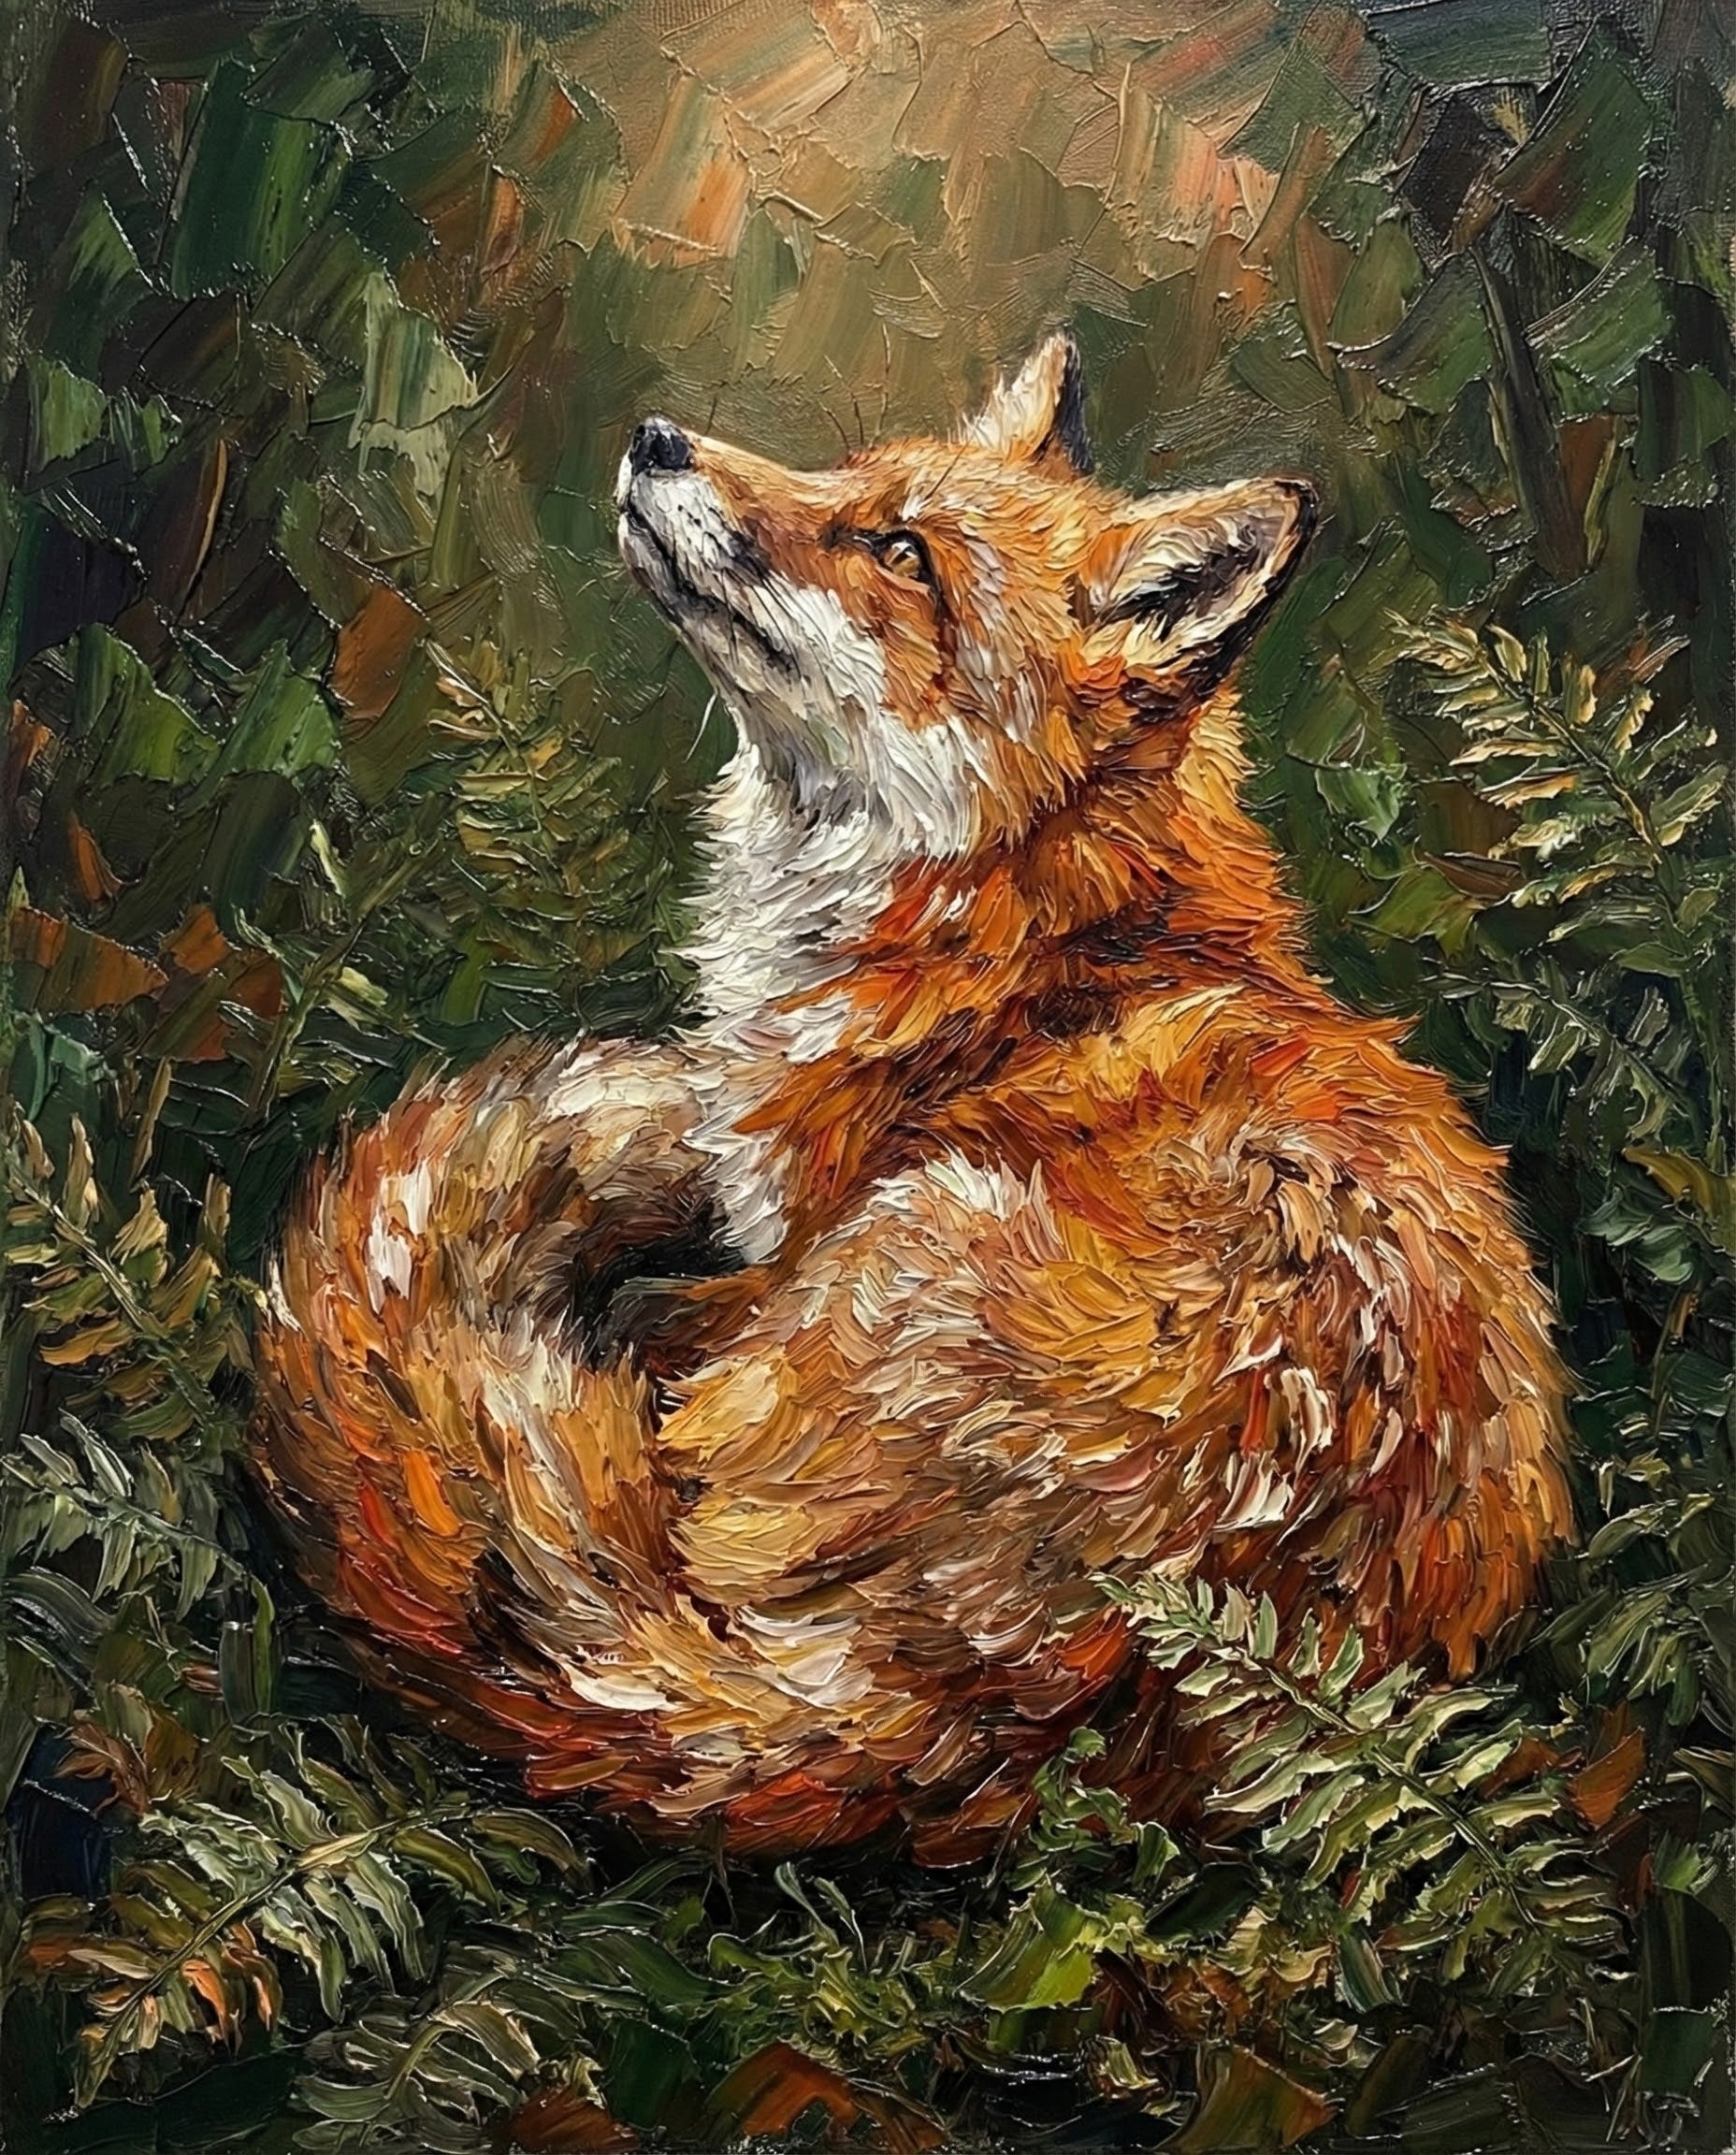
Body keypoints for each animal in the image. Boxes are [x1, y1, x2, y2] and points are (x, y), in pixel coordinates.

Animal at [254, 334, 1574, 1861]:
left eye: (899, 552)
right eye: (839, 475)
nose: (656, 439)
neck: (1022, 927)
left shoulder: (777, 1255)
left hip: (887, 1256)